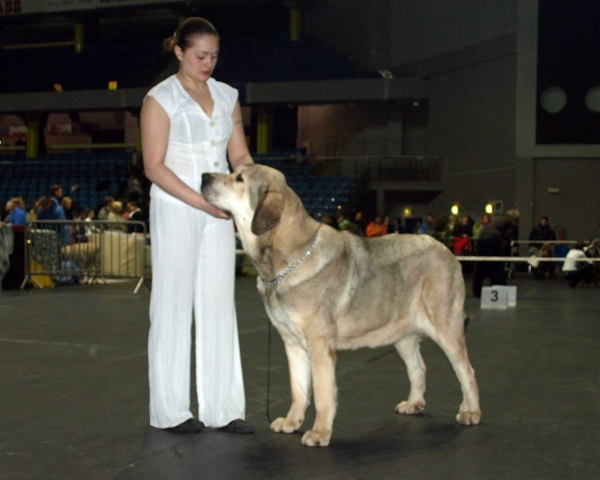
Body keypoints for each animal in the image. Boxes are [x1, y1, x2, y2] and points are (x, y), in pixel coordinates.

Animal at [202, 164, 482, 446]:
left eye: (239, 179)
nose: (204, 177)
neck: (288, 258)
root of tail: (445, 250)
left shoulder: (319, 345)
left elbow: (322, 393)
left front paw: (319, 433)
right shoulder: (292, 343)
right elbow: (299, 389)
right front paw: (292, 422)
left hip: (446, 327)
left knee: (466, 371)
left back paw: (470, 412)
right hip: (402, 335)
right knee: (418, 367)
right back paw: (413, 403)